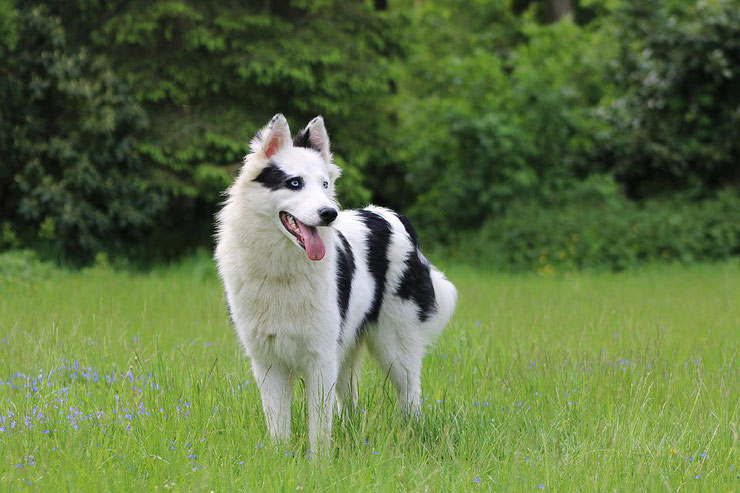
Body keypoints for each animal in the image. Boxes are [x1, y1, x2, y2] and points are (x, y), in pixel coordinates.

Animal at [214, 113, 456, 452]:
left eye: (325, 185)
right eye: (294, 183)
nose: (330, 214)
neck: (282, 267)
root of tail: (391, 216)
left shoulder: (320, 358)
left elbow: (318, 427)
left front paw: (318, 462)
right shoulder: (269, 362)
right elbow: (278, 427)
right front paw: (279, 459)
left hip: (395, 349)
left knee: (411, 399)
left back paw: (412, 436)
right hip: (347, 353)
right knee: (351, 403)